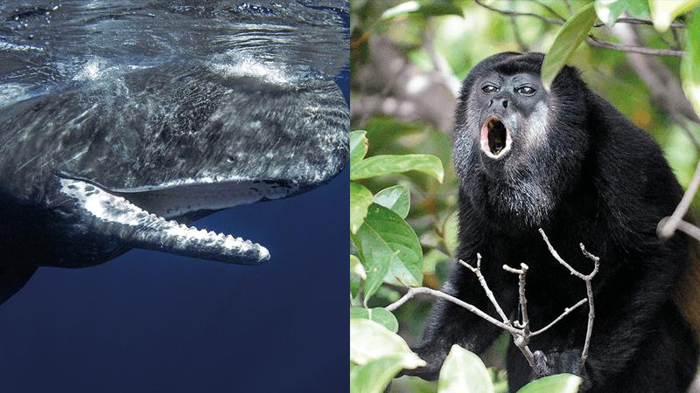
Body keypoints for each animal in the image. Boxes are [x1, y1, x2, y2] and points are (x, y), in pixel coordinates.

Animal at [404, 52, 700, 392]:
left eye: (525, 91)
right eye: (489, 88)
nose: (497, 101)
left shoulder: (628, 155)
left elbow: (653, 255)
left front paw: (585, 367)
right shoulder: (472, 188)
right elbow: (486, 272)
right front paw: (433, 353)